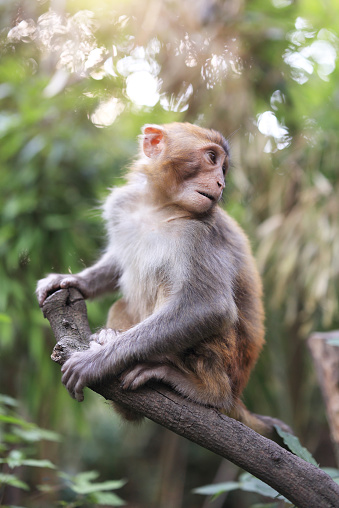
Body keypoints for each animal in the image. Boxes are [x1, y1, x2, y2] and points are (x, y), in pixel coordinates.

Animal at [36, 122, 282, 436]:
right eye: (212, 159)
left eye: (223, 169)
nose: (221, 183)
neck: (159, 206)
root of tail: (238, 393)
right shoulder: (122, 204)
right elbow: (118, 260)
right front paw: (75, 280)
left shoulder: (201, 233)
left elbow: (211, 306)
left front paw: (95, 363)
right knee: (124, 303)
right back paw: (111, 339)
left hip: (226, 362)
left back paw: (204, 388)